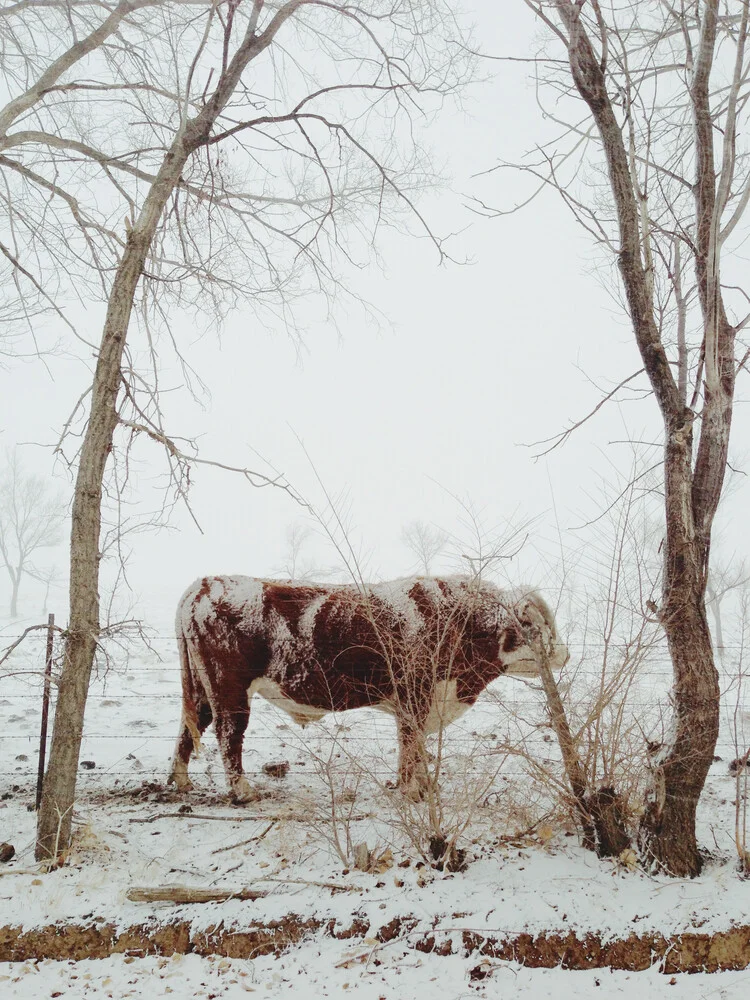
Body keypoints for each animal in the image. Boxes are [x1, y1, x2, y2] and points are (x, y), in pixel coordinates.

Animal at [169, 576, 568, 800]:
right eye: (540, 623)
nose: (564, 653)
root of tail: (204, 583)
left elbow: (416, 748)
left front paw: (424, 787)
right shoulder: (415, 698)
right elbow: (410, 747)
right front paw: (411, 793)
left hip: (205, 690)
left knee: (191, 729)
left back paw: (182, 783)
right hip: (229, 689)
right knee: (228, 735)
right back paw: (242, 792)